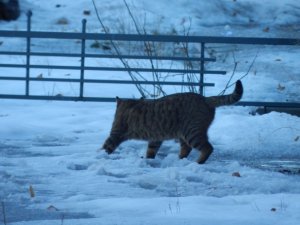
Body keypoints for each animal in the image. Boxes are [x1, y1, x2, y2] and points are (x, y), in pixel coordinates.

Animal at [102, 80, 243, 163]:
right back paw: (180, 160)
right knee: (186, 149)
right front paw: (149, 160)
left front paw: (101, 156)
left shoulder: (116, 133)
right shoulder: (155, 139)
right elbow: (151, 151)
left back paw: (198, 162)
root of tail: (205, 99)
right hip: (184, 135)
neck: (126, 105)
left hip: (192, 132)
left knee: (208, 148)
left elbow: (107, 146)